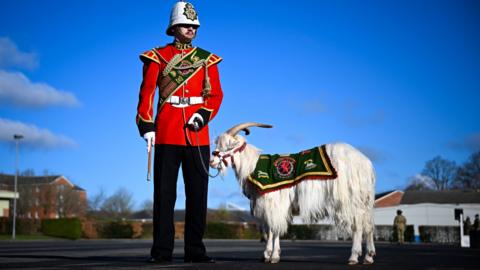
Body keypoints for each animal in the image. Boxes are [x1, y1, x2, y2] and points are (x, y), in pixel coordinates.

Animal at [212, 123, 376, 266]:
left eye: (228, 146)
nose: (212, 161)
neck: (253, 165)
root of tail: (366, 163)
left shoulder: (275, 202)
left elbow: (273, 230)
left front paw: (273, 256)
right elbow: (269, 229)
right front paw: (268, 254)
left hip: (350, 199)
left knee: (358, 226)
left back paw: (354, 257)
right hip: (365, 200)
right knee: (368, 225)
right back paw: (369, 256)